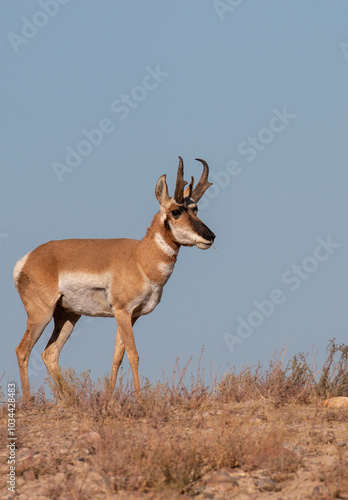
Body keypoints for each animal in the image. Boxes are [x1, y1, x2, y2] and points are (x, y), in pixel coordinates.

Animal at [14, 158, 215, 404]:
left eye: (196, 209)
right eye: (176, 211)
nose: (210, 236)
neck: (140, 258)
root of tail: (27, 259)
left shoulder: (132, 316)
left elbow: (117, 357)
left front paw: (109, 400)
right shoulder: (122, 312)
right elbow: (133, 355)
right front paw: (140, 400)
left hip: (68, 316)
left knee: (49, 353)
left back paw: (71, 399)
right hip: (40, 314)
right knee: (23, 350)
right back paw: (28, 401)